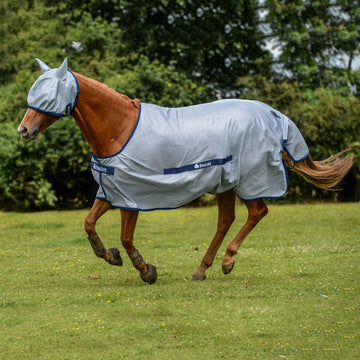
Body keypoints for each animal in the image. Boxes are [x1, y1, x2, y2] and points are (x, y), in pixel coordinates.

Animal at [18, 58, 352, 284]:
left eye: (48, 95)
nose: (24, 130)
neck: (119, 129)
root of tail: (272, 113)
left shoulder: (132, 196)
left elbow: (126, 238)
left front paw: (146, 270)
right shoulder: (111, 191)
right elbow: (88, 223)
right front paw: (110, 256)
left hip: (248, 181)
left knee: (257, 212)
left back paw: (227, 261)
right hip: (225, 183)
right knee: (226, 220)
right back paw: (202, 270)